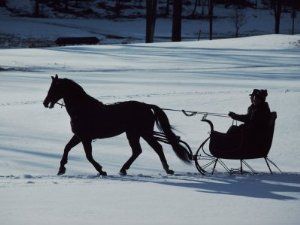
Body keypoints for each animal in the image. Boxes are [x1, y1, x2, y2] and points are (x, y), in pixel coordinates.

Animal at [43, 74, 191, 177]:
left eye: (54, 88)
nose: (45, 102)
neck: (83, 109)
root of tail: (147, 106)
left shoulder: (85, 138)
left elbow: (88, 156)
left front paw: (101, 170)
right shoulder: (79, 136)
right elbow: (67, 148)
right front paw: (61, 169)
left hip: (143, 133)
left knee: (155, 148)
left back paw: (165, 169)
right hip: (135, 133)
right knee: (139, 150)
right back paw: (125, 169)